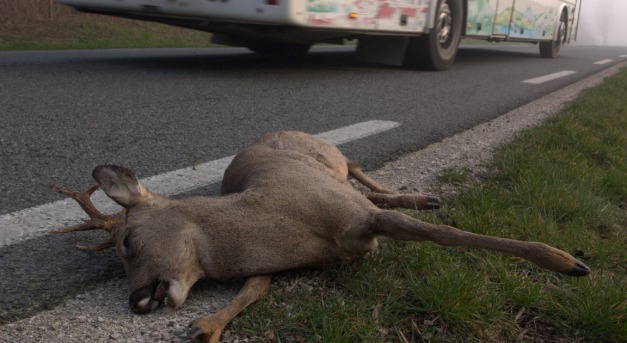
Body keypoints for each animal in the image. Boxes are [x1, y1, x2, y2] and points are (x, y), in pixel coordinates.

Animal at [51, 130, 592, 342]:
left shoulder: (353, 214)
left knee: (364, 172)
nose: (136, 299)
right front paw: (207, 327)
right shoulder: (278, 262)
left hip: (334, 157)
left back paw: (423, 196)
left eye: (127, 243)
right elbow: (254, 290)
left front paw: (567, 261)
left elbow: (445, 235)